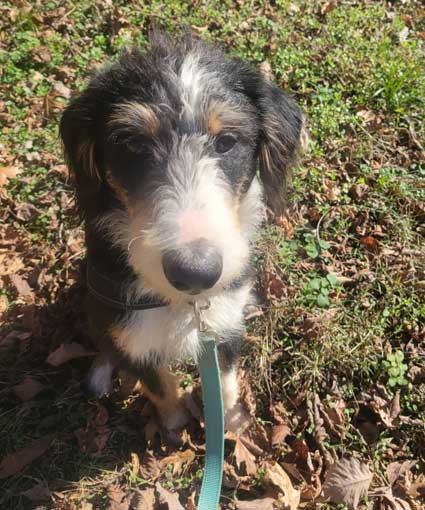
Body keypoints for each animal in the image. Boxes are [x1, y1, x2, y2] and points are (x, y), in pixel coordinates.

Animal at [60, 32, 304, 431]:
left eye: (226, 142)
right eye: (133, 144)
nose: (195, 273)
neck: (182, 304)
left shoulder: (224, 322)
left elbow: (225, 379)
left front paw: (231, 420)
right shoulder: (133, 335)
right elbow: (160, 385)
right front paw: (173, 427)